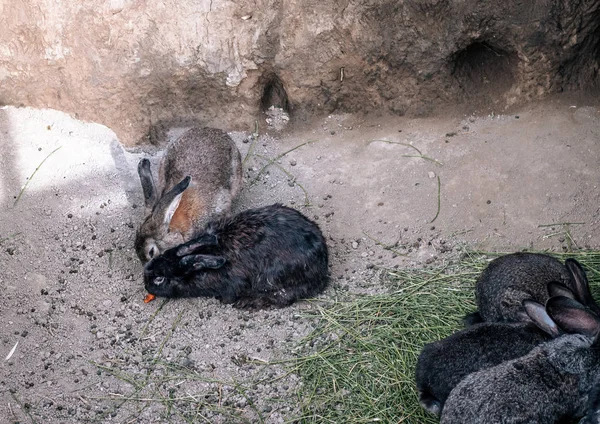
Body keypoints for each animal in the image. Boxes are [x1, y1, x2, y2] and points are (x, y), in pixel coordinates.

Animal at [143, 204, 330, 310]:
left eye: (159, 279)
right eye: (159, 257)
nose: (145, 283)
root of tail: (323, 266)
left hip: (276, 278)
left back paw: (247, 303)